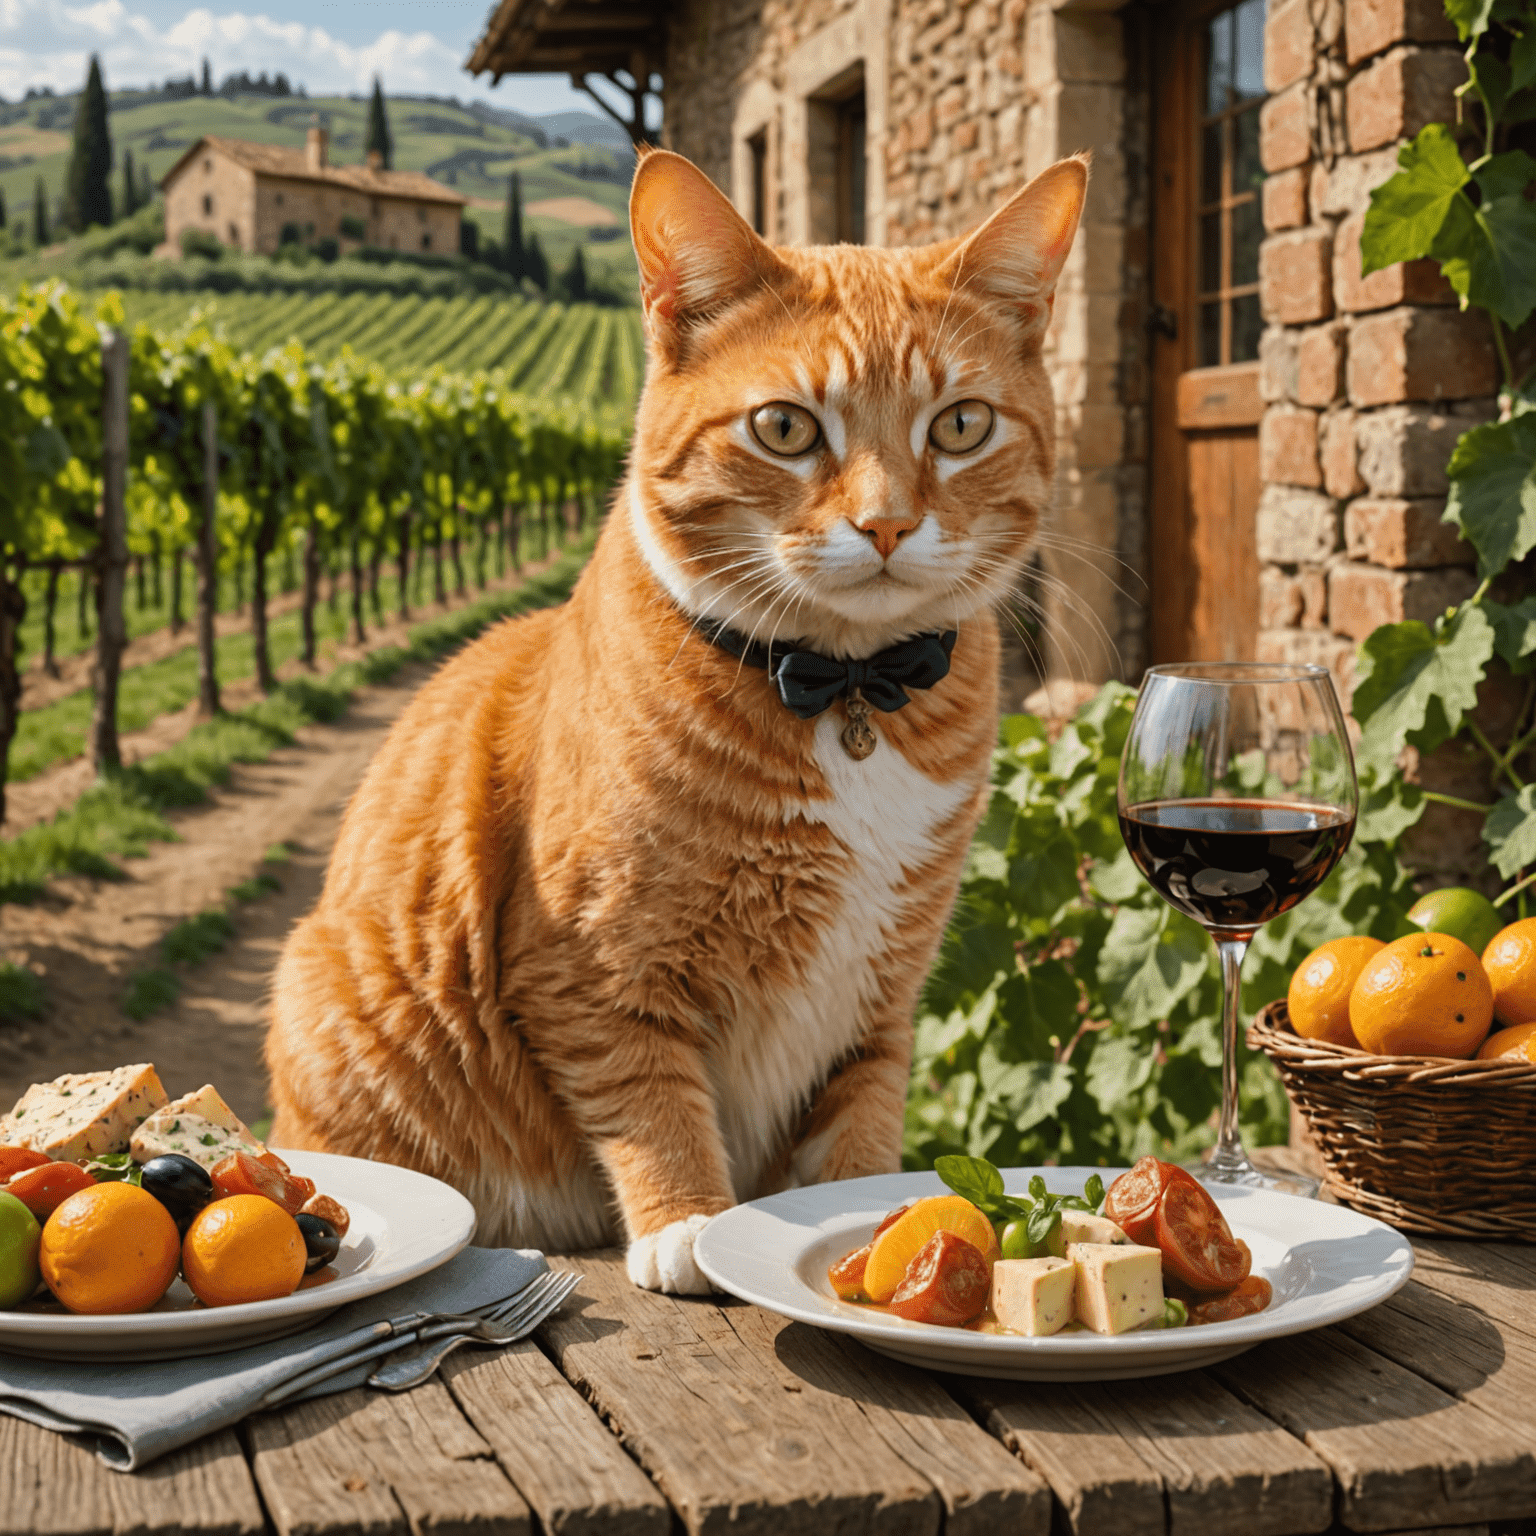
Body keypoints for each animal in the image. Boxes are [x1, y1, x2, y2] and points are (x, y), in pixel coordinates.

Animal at [270, 149, 1093, 1290]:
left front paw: (868, 1230)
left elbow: (860, 1126)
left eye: (961, 425)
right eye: (786, 427)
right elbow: (649, 1093)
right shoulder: (592, 965)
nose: (886, 523)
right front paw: (689, 1221)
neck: (845, 695)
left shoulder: (884, 991)